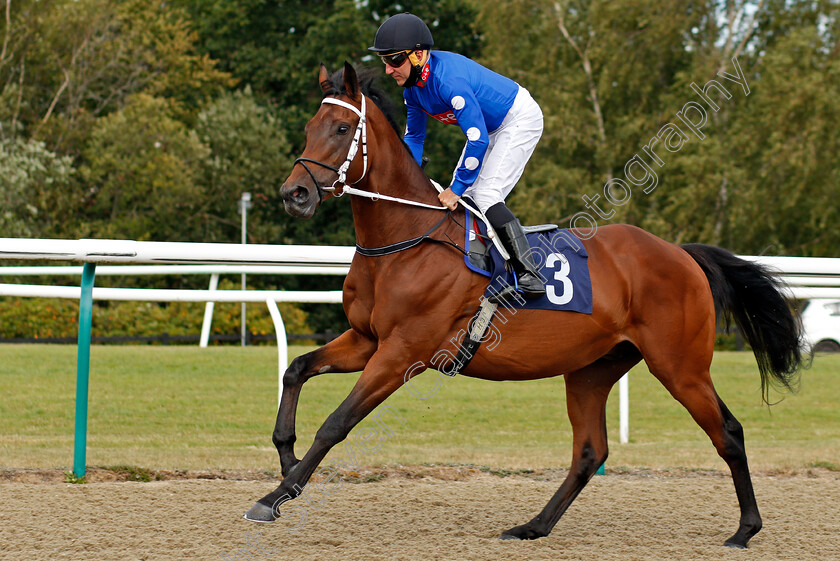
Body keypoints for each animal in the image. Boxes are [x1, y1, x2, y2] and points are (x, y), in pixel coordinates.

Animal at [241, 62, 800, 548]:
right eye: (310, 126)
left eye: (340, 127)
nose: (294, 193)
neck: (407, 236)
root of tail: (680, 253)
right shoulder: (366, 339)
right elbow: (295, 369)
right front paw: (288, 465)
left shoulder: (402, 352)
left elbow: (336, 422)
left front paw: (275, 496)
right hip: (592, 369)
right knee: (589, 451)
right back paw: (532, 526)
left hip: (680, 365)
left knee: (728, 431)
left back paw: (745, 529)